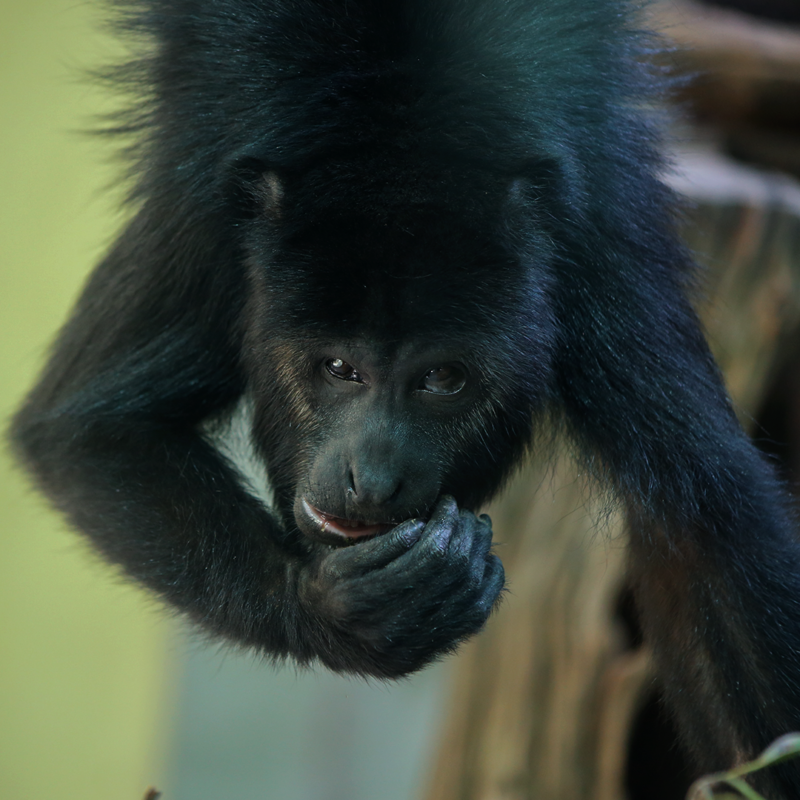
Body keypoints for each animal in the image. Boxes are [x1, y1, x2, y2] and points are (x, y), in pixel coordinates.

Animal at [9, 0, 800, 795]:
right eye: (338, 367)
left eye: (443, 379)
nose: (373, 477)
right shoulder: (206, 204)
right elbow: (92, 427)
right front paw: (343, 617)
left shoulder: (592, 232)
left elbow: (702, 522)